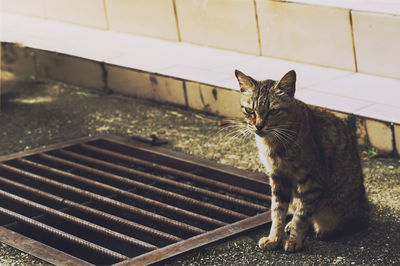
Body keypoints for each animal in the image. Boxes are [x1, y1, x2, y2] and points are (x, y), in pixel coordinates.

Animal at [234, 69, 368, 252]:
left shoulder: (312, 181)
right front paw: (274, 238)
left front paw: (294, 241)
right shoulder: (278, 178)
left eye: (273, 111)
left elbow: (302, 215)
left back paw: (325, 230)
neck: (274, 144)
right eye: (249, 110)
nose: (259, 126)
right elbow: (277, 212)